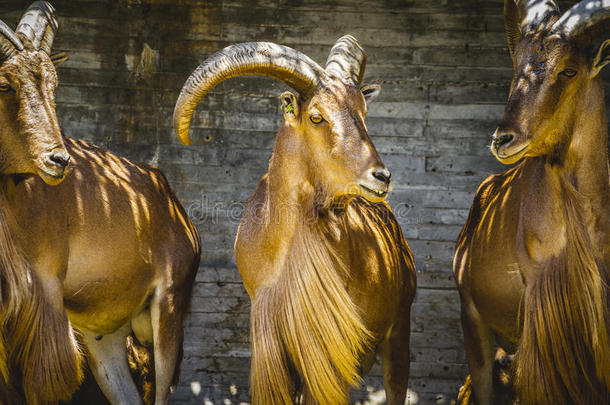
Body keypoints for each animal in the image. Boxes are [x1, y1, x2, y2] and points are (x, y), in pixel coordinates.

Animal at [173, 36, 416, 402]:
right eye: (316, 117)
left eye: (363, 112)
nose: (381, 176)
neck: (286, 253)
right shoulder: (274, 347)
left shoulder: (330, 352)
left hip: (399, 331)